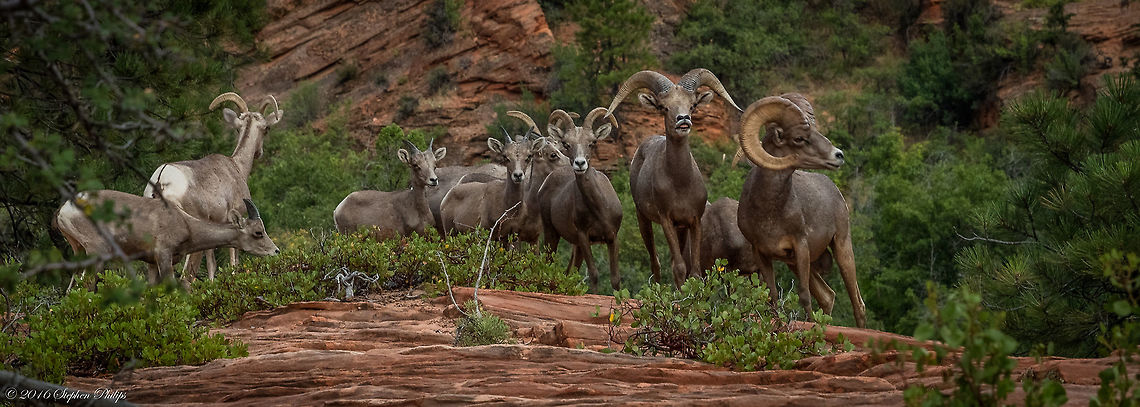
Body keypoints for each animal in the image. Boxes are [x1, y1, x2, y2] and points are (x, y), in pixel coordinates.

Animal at [54, 191, 278, 284]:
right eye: (258, 232)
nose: (276, 251)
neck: (185, 223)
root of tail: (64, 211)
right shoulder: (163, 256)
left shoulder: (152, 263)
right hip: (97, 253)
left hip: (79, 252)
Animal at [143, 92, 283, 281]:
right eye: (267, 128)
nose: (259, 153)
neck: (236, 166)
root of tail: (161, 181)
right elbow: (233, 262)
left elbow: (211, 266)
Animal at [537, 107, 623, 291]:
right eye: (566, 144)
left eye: (592, 142)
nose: (580, 163)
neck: (599, 210)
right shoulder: (584, 237)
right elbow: (594, 274)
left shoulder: (612, 237)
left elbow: (615, 279)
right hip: (551, 233)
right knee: (548, 264)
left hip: (575, 247)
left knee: (570, 272)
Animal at [605, 69, 742, 288]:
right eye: (664, 107)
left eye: (692, 105)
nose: (683, 119)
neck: (681, 184)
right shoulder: (666, 219)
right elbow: (678, 267)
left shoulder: (693, 221)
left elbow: (694, 271)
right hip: (643, 220)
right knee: (656, 262)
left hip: (680, 229)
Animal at [733, 93, 866, 328]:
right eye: (799, 138)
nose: (838, 155)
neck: (769, 213)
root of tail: (835, 191)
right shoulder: (762, 253)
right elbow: (772, 296)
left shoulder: (801, 247)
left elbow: (804, 296)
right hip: (797, 263)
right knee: (827, 296)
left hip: (841, 247)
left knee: (857, 303)